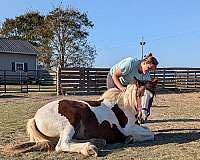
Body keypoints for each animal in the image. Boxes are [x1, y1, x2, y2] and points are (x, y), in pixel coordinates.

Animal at [4, 79, 157, 157]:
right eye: (139, 94)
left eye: (152, 96)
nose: (143, 116)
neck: (123, 106)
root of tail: (35, 118)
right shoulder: (128, 128)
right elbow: (151, 134)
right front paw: (130, 138)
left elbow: (148, 131)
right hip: (70, 123)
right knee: (62, 145)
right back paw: (89, 148)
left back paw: (96, 142)